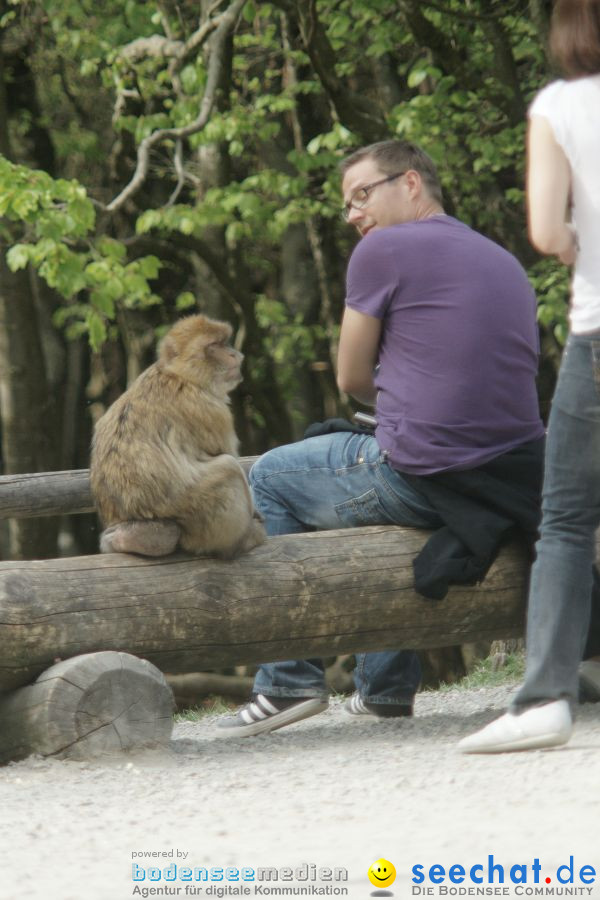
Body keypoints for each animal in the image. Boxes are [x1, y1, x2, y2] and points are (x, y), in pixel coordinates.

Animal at [88, 314, 264, 556]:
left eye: (225, 341)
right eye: (215, 345)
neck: (180, 375)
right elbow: (228, 455)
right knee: (228, 468)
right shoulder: (212, 411)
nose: (235, 354)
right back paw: (243, 540)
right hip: (199, 513)